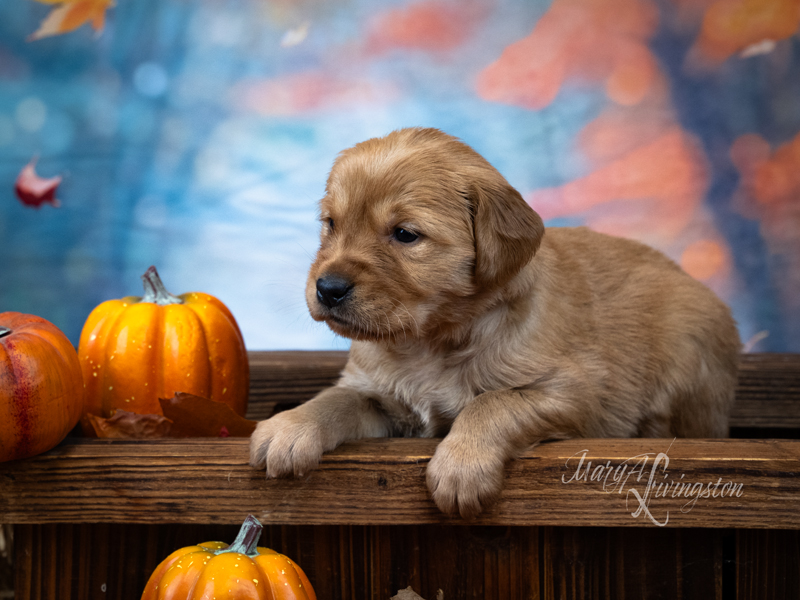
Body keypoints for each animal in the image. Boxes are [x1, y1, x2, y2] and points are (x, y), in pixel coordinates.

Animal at [248, 127, 736, 520]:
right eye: (331, 224)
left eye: (405, 234)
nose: (327, 288)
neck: (429, 342)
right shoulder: (378, 395)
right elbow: (336, 398)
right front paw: (290, 428)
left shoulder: (572, 392)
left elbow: (492, 403)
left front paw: (460, 466)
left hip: (688, 345)